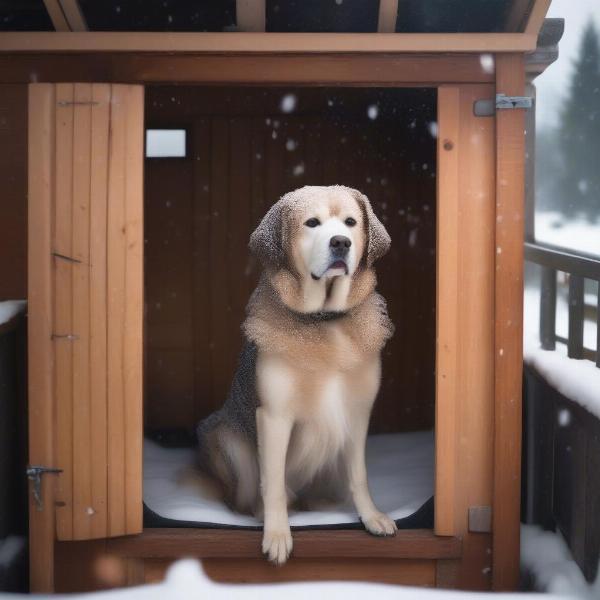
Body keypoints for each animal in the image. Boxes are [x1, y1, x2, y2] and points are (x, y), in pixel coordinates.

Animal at [195, 185, 396, 564]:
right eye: (312, 223)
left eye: (351, 223)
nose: (341, 243)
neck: (323, 322)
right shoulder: (274, 417)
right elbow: (272, 483)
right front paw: (277, 535)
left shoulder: (358, 413)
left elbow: (359, 475)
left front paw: (371, 516)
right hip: (225, 438)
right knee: (251, 493)